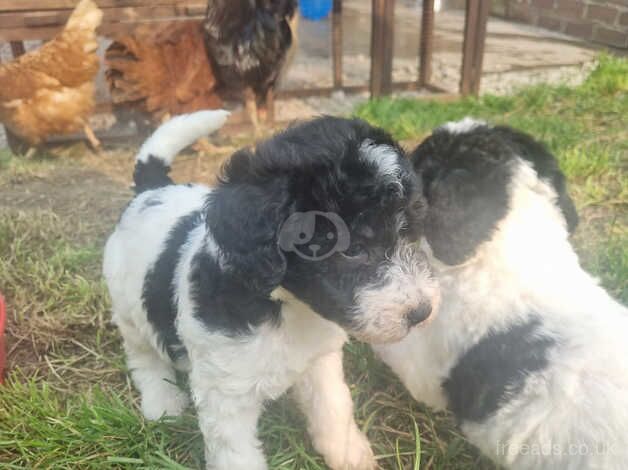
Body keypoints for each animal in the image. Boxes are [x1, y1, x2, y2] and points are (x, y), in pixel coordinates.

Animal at [103, 111, 440, 470]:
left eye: (410, 231)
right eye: (352, 250)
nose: (422, 312)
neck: (287, 307)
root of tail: (152, 190)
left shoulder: (320, 360)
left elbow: (333, 405)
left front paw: (349, 452)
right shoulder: (226, 393)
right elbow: (236, 455)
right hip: (127, 308)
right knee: (142, 355)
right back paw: (161, 400)